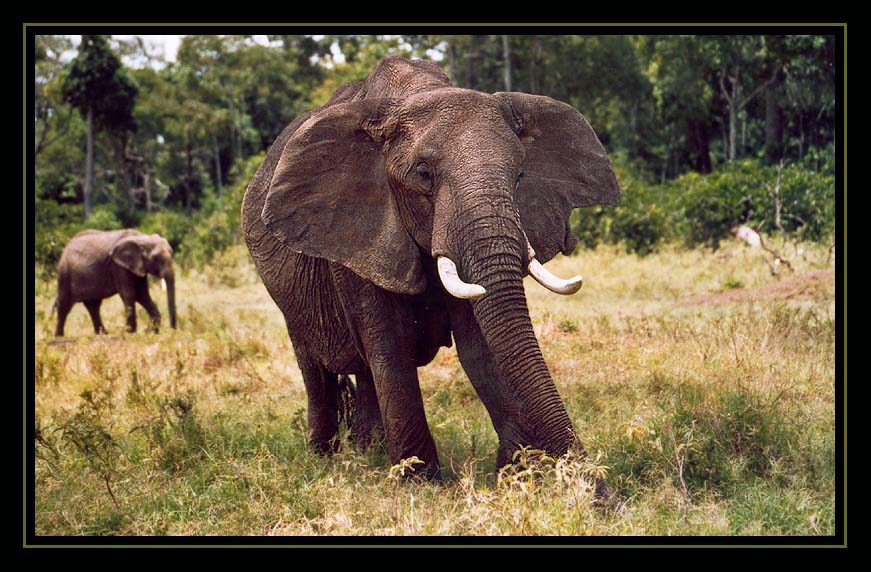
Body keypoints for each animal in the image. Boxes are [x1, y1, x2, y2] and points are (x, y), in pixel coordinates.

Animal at [238, 58, 620, 494]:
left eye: (520, 175)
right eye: (423, 174)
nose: (602, 494)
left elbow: (481, 344)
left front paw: (516, 475)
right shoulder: (354, 237)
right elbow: (390, 348)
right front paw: (420, 485)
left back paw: (369, 452)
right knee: (316, 369)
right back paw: (326, 458)